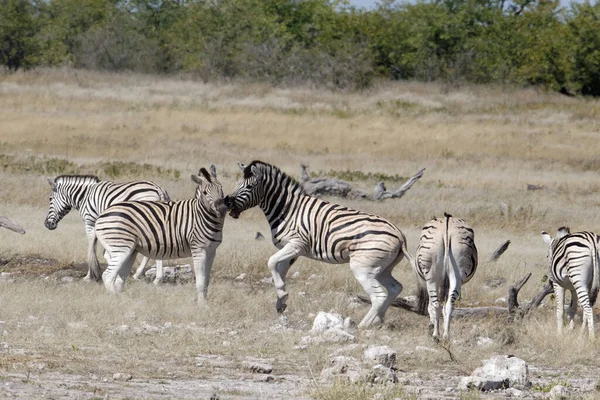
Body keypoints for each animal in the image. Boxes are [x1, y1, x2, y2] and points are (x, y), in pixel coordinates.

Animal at [95, 164, 226, 302]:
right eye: (205, 192)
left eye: (221, 189)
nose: (222, 209)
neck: (202, 216)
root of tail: (101, 215)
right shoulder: (198, 249)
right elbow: (200, 282)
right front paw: (201, 304)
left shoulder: (211, 251)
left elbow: (206, 281)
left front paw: (206, 302)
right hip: (121, 248)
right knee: (107, 275)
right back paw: (116, 299)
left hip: (131, 251)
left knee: (120, 279)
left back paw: (124, 300)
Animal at [223, 160, 414, 328]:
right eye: (236, 184)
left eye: (248, 187)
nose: (227, 203)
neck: (287, 209)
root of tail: (399, 234)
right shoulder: (291, 250)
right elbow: (280, 271)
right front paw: (281, 301)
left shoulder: (297, 245)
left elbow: (271, 262)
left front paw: (282, 294)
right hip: (381, 268)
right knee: (395, 288)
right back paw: (377, 320)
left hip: (363, 267)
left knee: (379, 295)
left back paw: (365, 324)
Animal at [412, 212, 478, 340]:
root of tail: (447, 222)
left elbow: (430, 306)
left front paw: (431, 325)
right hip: (457, 274)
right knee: (449, 305)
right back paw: (446, 335)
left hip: (431, 276)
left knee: (436, 304)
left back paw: (436, 335)